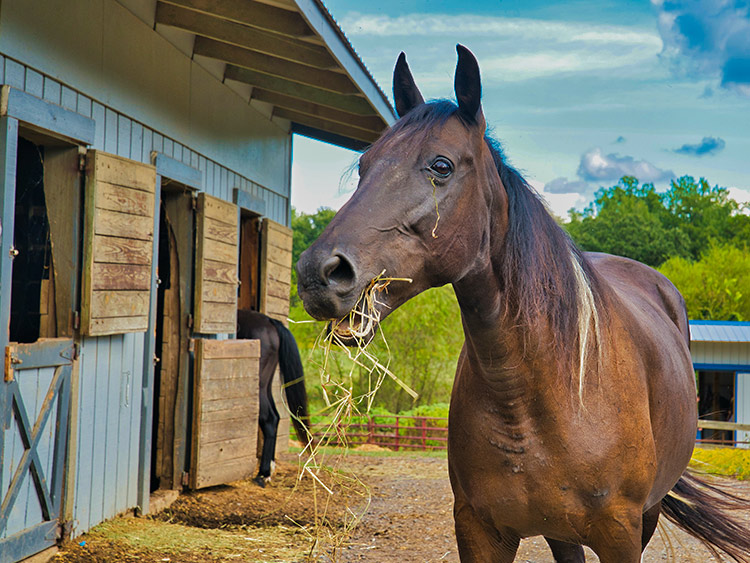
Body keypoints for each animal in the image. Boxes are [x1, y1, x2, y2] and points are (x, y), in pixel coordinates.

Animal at [236, 310, 310, 486]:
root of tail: (270, 322)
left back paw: (263, 474)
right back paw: (269, 469)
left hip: (259, 385)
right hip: (266, 384)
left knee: (269, 419)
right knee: (275, 417)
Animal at [296, 47, 750, 563]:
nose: (318, 273)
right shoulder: (479, 530)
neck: (538, 397)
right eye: (364, 166)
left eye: (441, 166)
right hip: (561, 531)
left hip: (645, 515)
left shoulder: (621, 533)